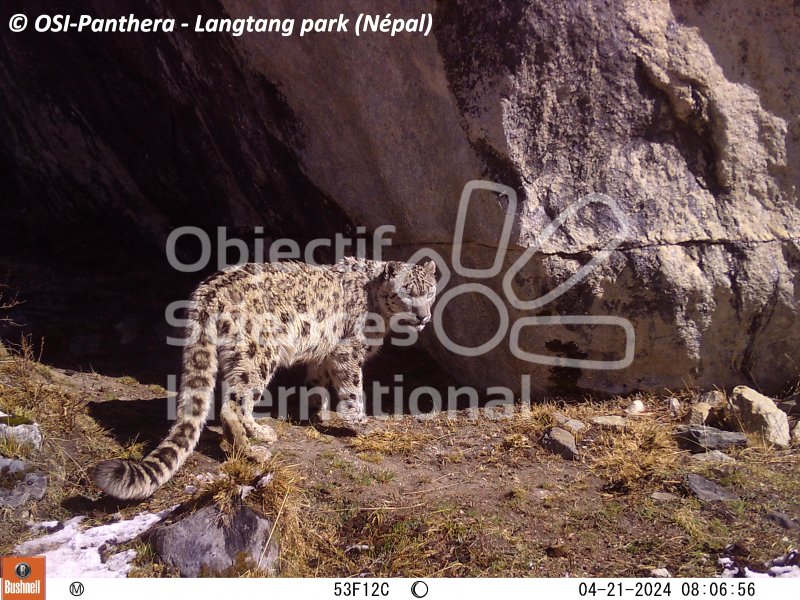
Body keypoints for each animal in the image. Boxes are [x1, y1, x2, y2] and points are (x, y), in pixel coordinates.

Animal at [92, 258, 438, 502]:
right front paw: (362, 424)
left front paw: (320, 415)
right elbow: (352, 390)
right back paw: (253, 448)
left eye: (430, 291)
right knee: (233, 405)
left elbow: (318, 385)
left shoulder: (322, 355)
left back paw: (257, 435)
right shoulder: (347, 351)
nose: (423, 316)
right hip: (257, 355)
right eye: (406, 292)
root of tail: (207, 291)